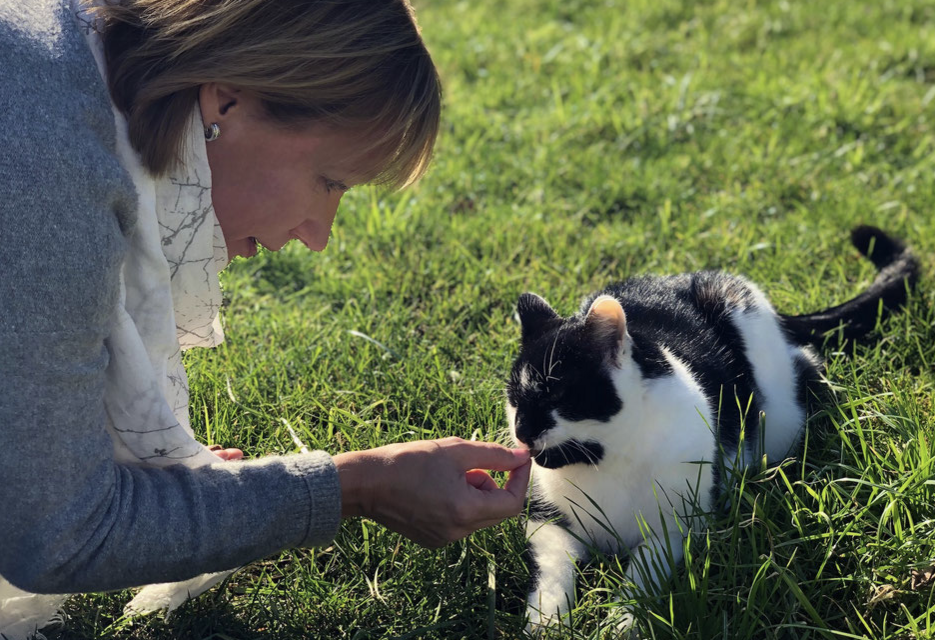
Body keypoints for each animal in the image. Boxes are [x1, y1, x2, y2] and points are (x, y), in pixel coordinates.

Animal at [508, 226, 916, 636]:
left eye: (554, 393)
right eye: (513, 397)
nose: (522, 430)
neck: (605, 458)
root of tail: (688, 277)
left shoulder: (675, 527)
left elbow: (641, 579)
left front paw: (620, 623)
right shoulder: (547, 523)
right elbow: (553, 577)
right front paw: (548, 624)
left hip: (777, 410)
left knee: (804, 365)